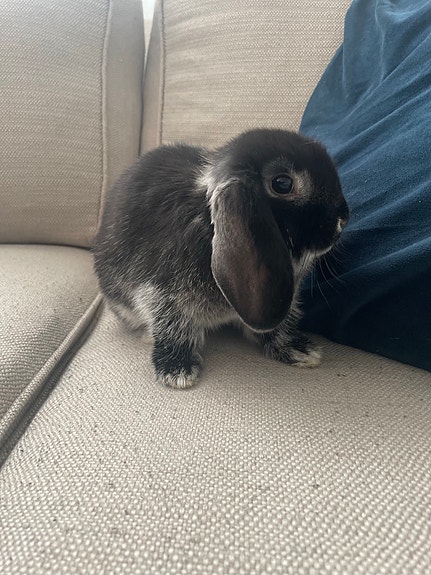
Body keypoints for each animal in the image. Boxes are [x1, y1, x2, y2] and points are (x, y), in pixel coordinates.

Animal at [93, 128, 349, 389]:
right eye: (283, 183)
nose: (343, 219)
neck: (207, 222)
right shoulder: (159, 293)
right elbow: (172, 326)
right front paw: (177, 370)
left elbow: (279, 325)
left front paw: (300, 350)